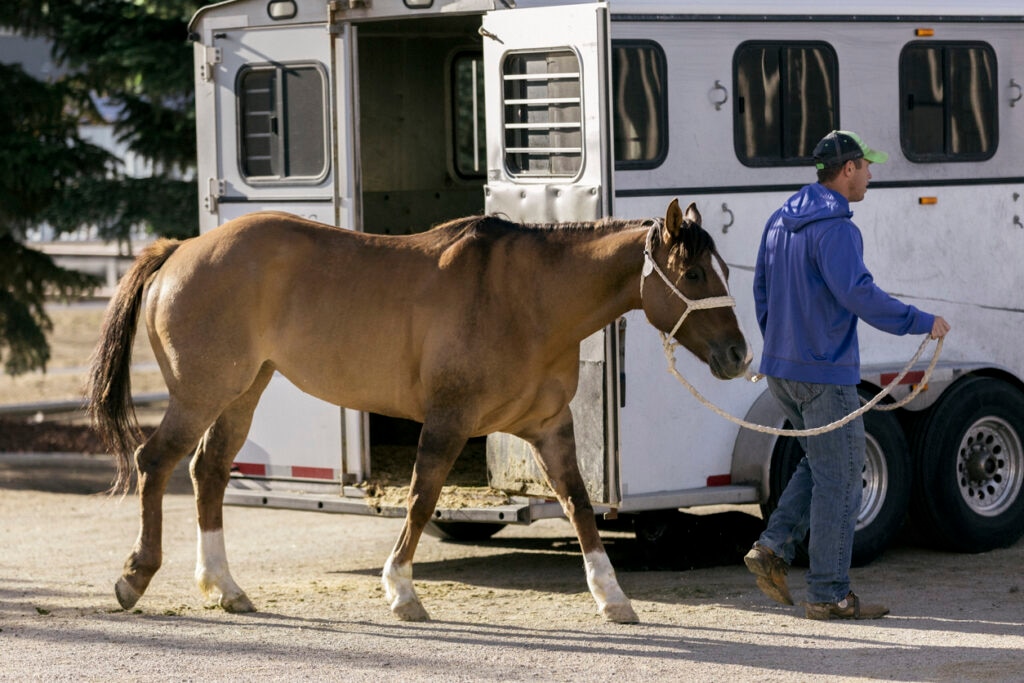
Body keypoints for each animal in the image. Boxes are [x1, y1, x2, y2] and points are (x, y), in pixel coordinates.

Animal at [87, 198, 750, 624]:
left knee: (209, 472)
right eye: (694, 272)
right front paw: (402, 593)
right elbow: (421, 497)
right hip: (201, 394)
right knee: (156, 463)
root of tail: (181, 251)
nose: (739, 355)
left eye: (720, 269)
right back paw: (134, 578)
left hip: (245, 390)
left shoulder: (550, 428)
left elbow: (579, 505)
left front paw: (612, 598)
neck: (527, 299)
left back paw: (225, 588)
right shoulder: (449, 421)